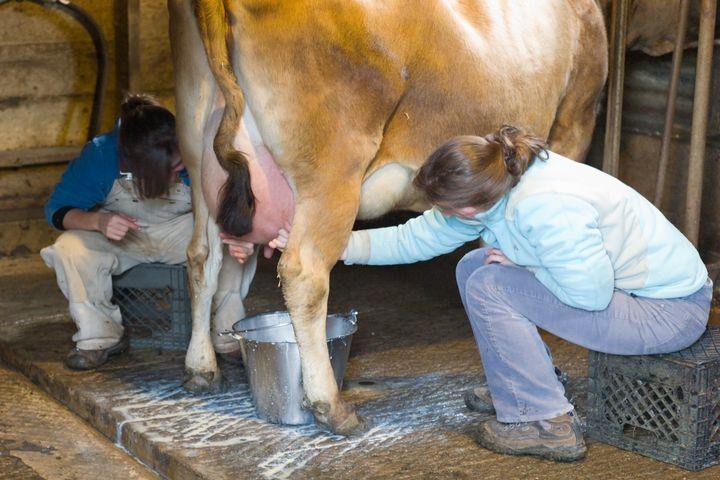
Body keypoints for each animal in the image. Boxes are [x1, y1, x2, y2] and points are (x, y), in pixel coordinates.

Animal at [168, 0, 608, 435]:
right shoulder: (572, 125)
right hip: (333, 169)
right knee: (304, 273)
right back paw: (331, 405)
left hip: (199, 153)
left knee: (202, 257)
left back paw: (201, 368)